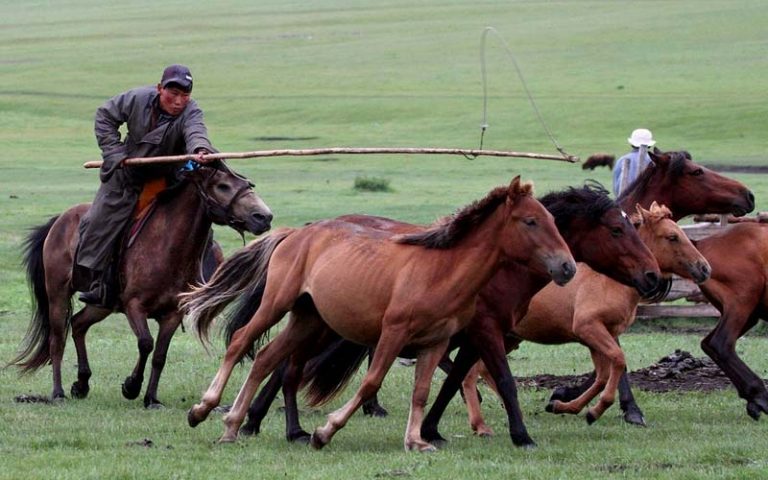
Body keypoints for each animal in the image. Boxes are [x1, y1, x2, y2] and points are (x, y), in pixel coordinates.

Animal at [10, 163, 272, 408]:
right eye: (223, 186)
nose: (264, 217)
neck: (168, 246)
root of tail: (59, 220)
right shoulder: (134, 306)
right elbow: (146, 343)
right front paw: (131, 386)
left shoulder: (173, 314)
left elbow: (159, 355)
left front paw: (151, 399)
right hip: (58, 294)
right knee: (57, 340)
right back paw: (58, 392)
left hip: (101, 305)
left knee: (78, 324)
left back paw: (82, 384)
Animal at [222, 182, 664, 447]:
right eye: (617, 230)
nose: (652, 275)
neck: (502, 268)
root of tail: (302, 232)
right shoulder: (486, 332)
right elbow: (501, 381)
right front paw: (520, 434)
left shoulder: (469, 336)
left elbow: (451, 382)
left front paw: (431, 430)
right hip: (325, 324)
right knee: (283, 366)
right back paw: (267, 423)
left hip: (321, 322)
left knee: (283, 363)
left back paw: (264, 423)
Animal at [461, 202, 710, 433]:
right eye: (672, 237)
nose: (705, 268)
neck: (611, 281)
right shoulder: (588, 327)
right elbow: (618, 361)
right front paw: (597, 409)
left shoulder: (600, 336)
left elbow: (603, 376)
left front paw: (568, 407)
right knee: (471, 374)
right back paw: (480, 425)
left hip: (508, 337)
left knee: (482, 370)